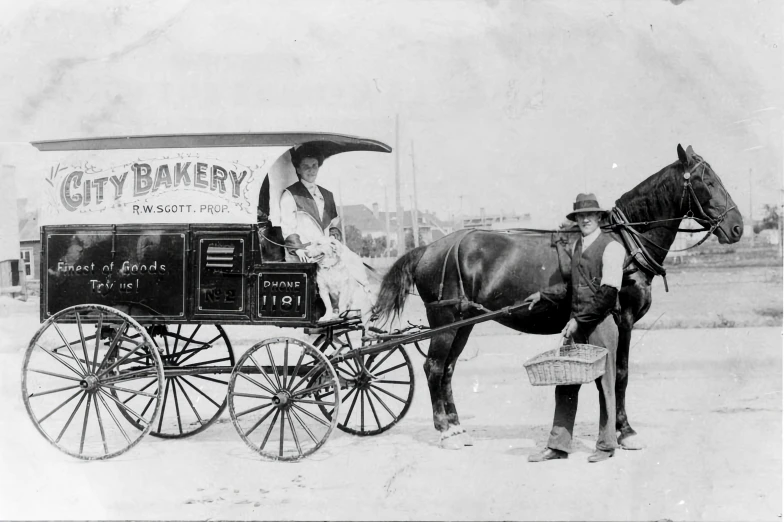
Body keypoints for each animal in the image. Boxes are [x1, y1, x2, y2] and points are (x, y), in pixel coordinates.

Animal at [374, 142, 740, 446]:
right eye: (707, 181)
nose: (736, 226)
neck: (624, 241)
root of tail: (429, 248)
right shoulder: (623, 320)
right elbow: (620, 375)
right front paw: (624, 430)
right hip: (445, 320)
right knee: (434, 368)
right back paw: (445, 431)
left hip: (465, 322)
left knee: (448, 369)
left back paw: (457, 426)